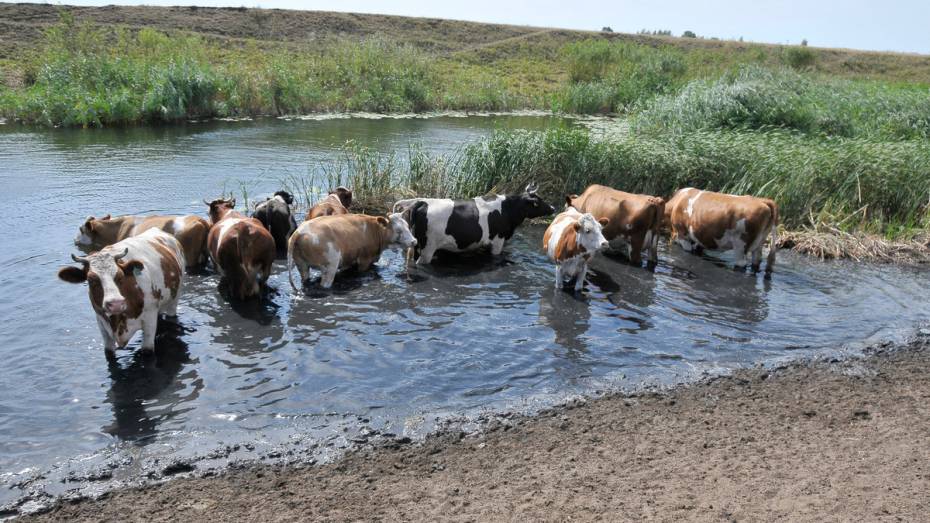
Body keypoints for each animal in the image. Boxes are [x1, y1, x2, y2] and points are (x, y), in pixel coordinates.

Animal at [284, 213, 412, 290]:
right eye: (398, 230)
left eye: (408, 226)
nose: (414, 241)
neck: (374, 229)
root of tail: (299, 232)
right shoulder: (365, 260)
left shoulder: (349, 260)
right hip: (330, 266)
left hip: (302, 265)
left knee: (305, 279)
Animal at [390, 185, 552, 266]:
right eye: (538, 202)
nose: (553, 208)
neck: (507, 209)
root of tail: (422, 202)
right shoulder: (498, 241)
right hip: (427, 248)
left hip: (415, 245)